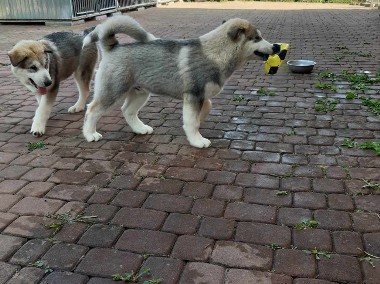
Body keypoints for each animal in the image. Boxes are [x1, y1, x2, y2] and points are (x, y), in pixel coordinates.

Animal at [83, 15, 274, 149]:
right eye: (257, 38)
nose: (275, 47)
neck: (216, 53)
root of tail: (112, 47)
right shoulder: (193, 95)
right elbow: (192, 121)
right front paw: (197, 140)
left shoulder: (199, 97)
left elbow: (203, 110)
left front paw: (197, 124)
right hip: (112, 91)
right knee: (92, 110)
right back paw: (90, 134)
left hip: (140, 93)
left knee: (128, 111)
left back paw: (140, 129)